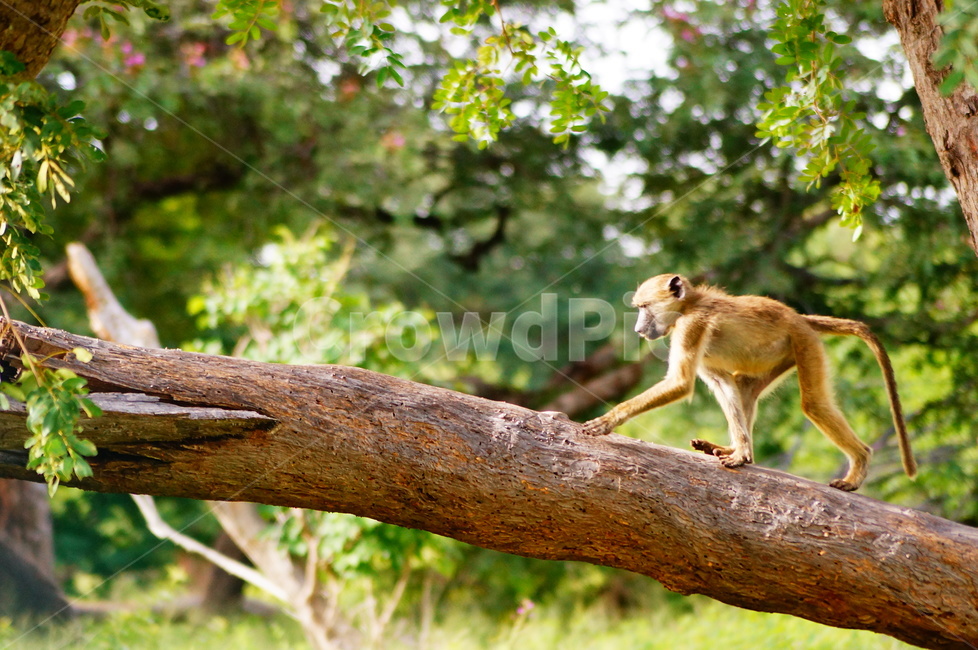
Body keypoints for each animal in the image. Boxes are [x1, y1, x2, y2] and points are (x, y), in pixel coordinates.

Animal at [581, 274, 916, 491]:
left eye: (644, 307)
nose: (638, 330)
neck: (689, 305)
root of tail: (798, 317)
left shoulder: (692, 327)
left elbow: (680, 383)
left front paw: (607, 420)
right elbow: (722, 384)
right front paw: (739, 453)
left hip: (804, 343)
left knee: (814, 404)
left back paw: (858, 465)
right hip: (785, 353)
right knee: (743, 385)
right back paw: (738, 451)